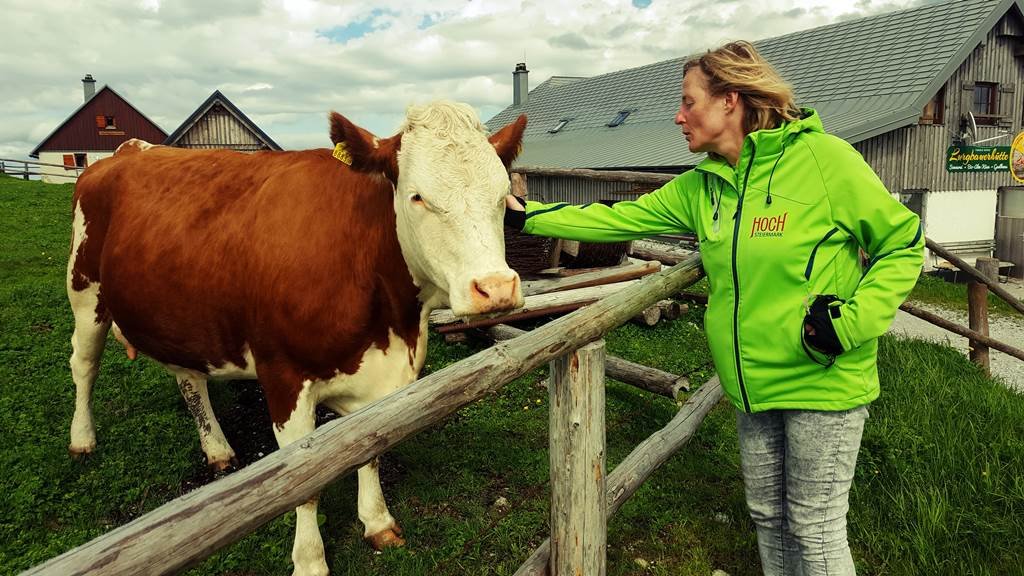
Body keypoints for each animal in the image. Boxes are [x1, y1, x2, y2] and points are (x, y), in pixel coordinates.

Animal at [67, 100, 528, 569]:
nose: (495, 288)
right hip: (85, 294)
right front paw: (310, 562)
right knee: (83, 364)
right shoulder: (284, 377)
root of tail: (130, 149)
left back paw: (216, 448)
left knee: (190, 380)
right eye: (417, 196)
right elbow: (305, 485)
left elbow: (371, 451)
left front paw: (377, 522)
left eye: (502, 198)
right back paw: (82, 439)